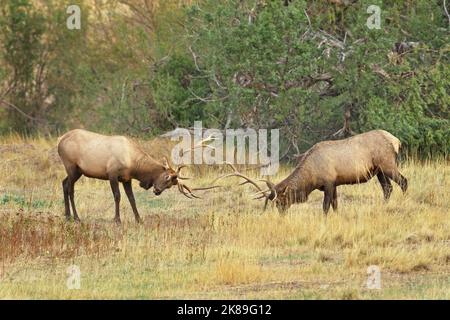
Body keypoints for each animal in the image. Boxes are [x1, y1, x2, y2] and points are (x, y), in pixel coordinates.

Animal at [57, 129, 219, 224]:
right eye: (167, 178)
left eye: (170, 185)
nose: (157, 191)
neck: (134, 164)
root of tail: (60, 141)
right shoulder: (112, 174)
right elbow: (117, 196)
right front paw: (117, 219)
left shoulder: (126, 178)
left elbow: (131, 198)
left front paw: (139, 219)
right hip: (71, 167)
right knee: (69, 188)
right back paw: (76, 217)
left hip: (77, 171)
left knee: (64, 183)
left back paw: (68, 216)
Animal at [214, 129, 408, 214]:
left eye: (281, 201)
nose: (281, 215)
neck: (311, 178)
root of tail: (397, 141)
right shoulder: (334, 184)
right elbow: (335, 205)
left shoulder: (329, 183)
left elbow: (325, 207)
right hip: (379, 171)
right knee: (388, 188)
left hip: (387, 164)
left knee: (404, 181)